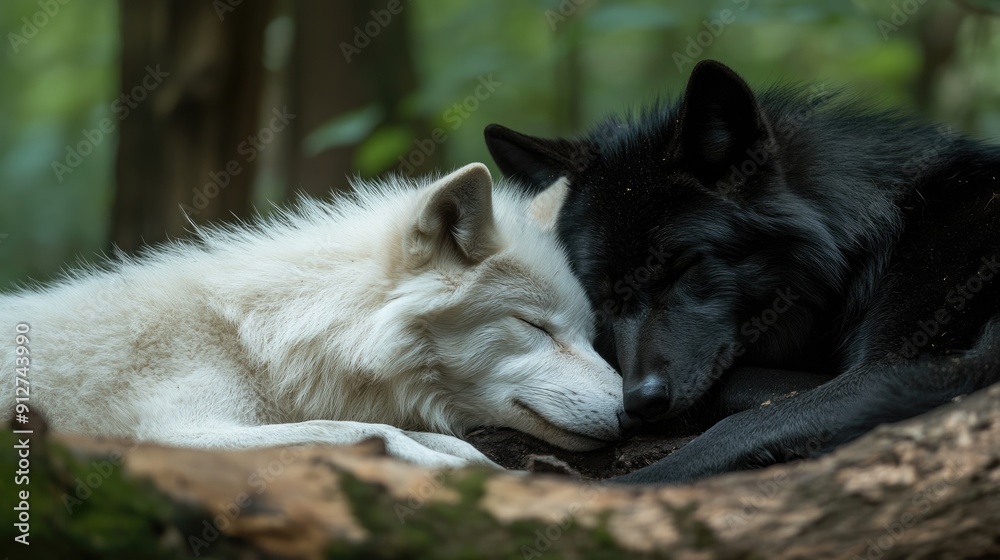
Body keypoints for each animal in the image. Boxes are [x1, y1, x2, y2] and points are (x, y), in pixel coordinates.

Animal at [1, 163, 623, 469]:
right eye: (534, 326)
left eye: (590, 336)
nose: (633, 410)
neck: (261, 340)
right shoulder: (175, 432)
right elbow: (366, 432)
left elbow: (435, 441)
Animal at [485, 60, 1000, 483]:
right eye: (600, 297)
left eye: (683, 267)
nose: (641, 400)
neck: (884, 233)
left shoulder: (906, 366)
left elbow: (730, 430)